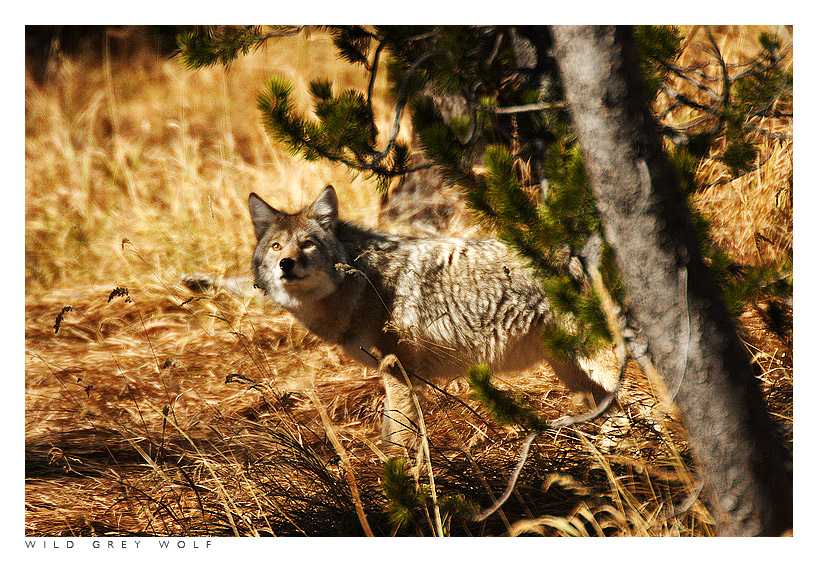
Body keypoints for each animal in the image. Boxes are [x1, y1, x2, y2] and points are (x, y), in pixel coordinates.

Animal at [218, 184, 620, 448]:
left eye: (307, 244)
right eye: (276, 246)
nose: (286, 264)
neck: (361, 283)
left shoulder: (400, 371)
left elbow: (399, 436)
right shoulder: (395, 374)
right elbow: (391, 430)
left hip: (596, 361)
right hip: (572, 370)